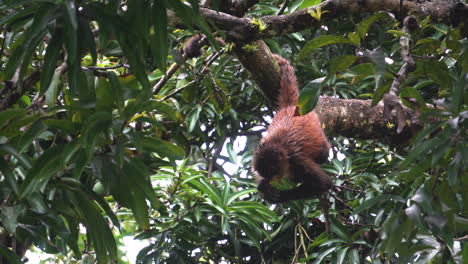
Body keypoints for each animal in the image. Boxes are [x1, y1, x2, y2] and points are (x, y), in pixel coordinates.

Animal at [252, 54, 332, 204]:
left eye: (274, 171)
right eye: (266, 173)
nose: (271, 179)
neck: (277, 144)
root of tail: (290, 107)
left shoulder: (297, 160)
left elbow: (324, 183)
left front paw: (279, 197)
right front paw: (264, 187)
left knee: (323, 154)